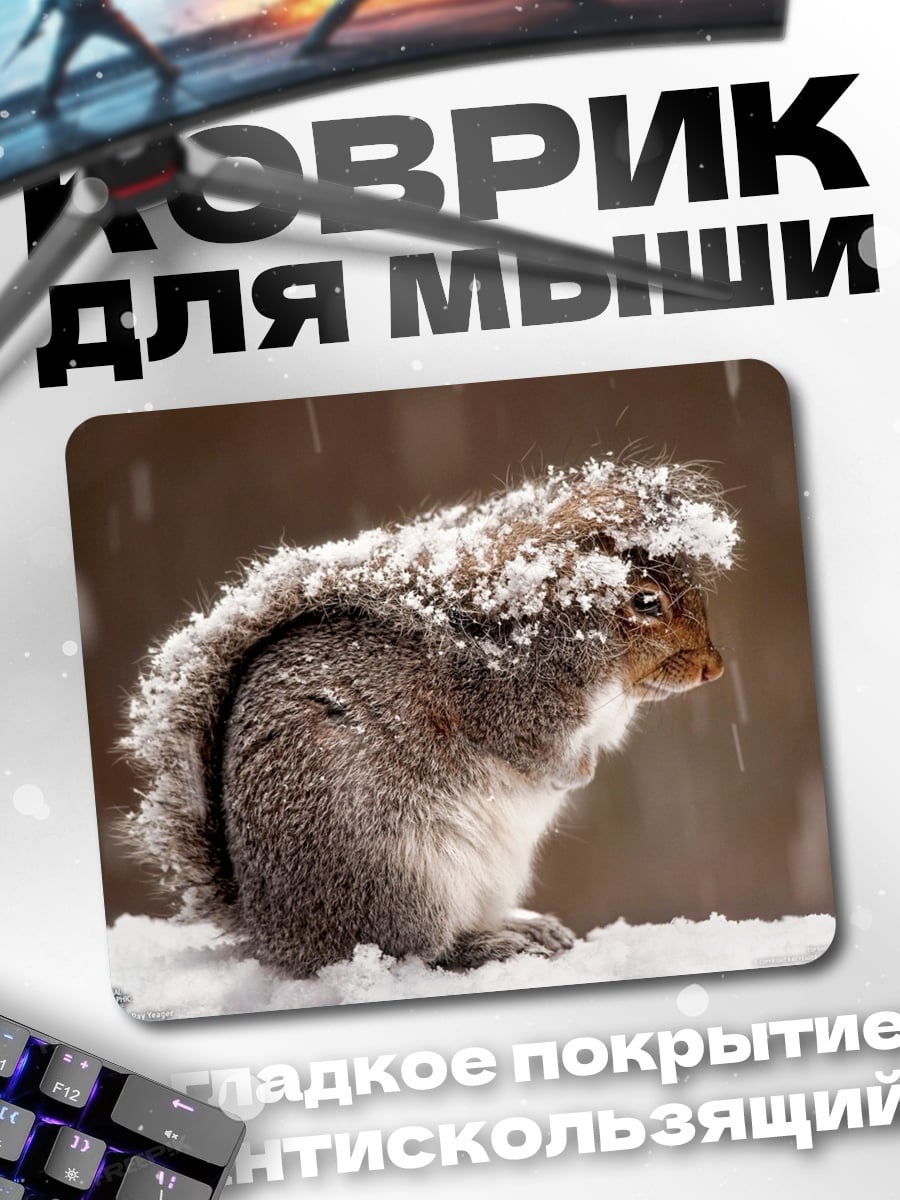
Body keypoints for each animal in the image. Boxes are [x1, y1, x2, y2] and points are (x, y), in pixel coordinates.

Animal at [122, 456, 738, 976]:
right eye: (645, 602)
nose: (714, 668)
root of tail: (274, 932)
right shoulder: (506, 704)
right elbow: (537, 752)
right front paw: (575, 775)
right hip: (401, 876)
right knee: (418, 950)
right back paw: (489, 946)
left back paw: (526, 926)